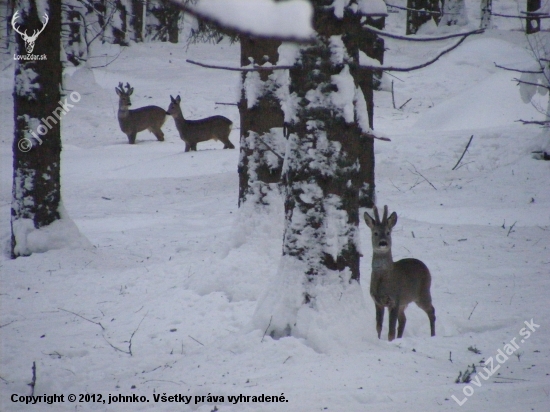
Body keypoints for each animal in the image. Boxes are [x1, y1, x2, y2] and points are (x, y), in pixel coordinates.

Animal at [364, 204, 438, 342]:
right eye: (375, 233)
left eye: (388, 232)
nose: (383, 243)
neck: (383, 279)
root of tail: (424, 266)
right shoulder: (378, 302)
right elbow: (378, 327)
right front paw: (379, 340)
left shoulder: (394, 299)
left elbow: (391, 330)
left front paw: (389, 341)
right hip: (404, 302)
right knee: (403, 320)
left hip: (423, 293)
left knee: (432, 311)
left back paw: (433, 335)